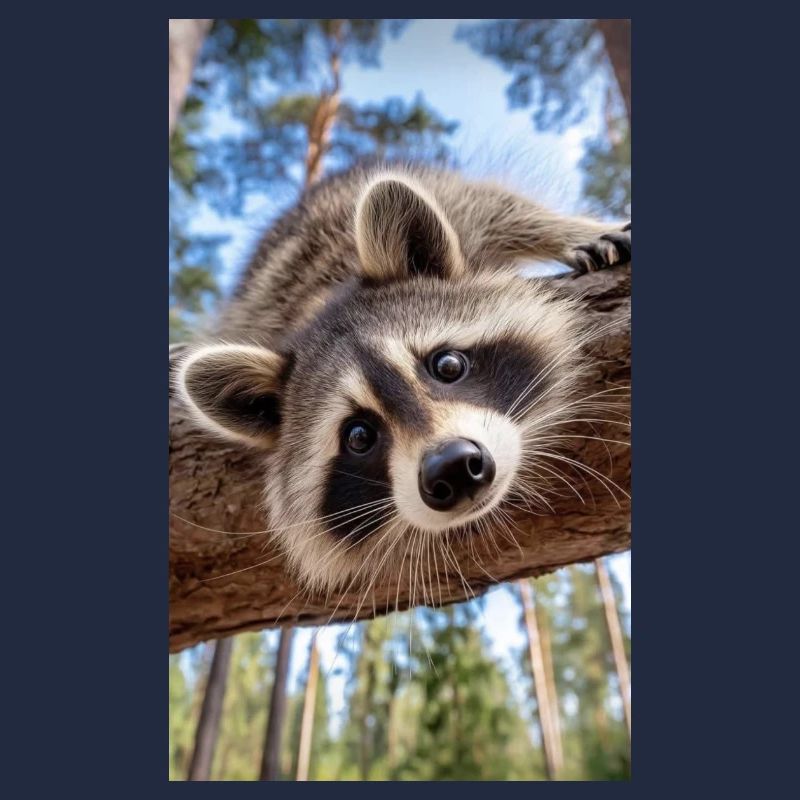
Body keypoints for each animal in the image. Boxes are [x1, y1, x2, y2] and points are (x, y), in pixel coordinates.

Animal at [175, 164, 630, 596]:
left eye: (447, 366)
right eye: (358, 436)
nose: (452, 468)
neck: (320, 302)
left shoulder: (463, 211)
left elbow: (502, 207)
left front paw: (572, 231)